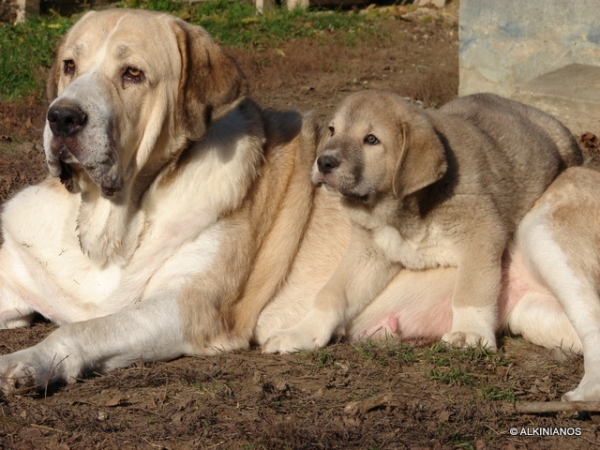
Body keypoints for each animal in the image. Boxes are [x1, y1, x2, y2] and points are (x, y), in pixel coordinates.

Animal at [264, 90, 580, 352]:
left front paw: (469, 332)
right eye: (332, 130)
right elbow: (332, 293)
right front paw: (301, 333)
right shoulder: (368, 254)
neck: (397, 212)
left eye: (371, 139)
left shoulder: (481, 234)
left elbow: (471, 289)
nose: (323, 162)